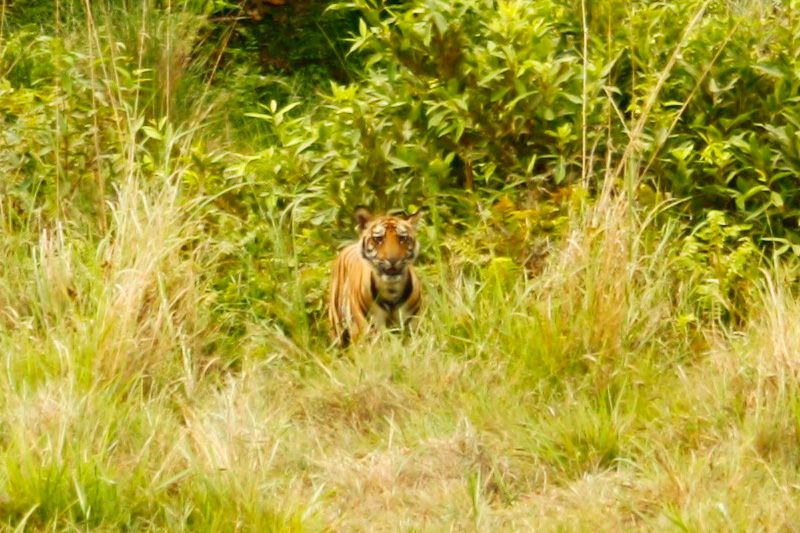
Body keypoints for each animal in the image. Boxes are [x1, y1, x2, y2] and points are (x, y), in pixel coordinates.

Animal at [326, 204, 428, 344]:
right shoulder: (366, 331)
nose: (393, 260)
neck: (391, 290)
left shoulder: (412, 327)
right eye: (379, 239)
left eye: (402, 238)